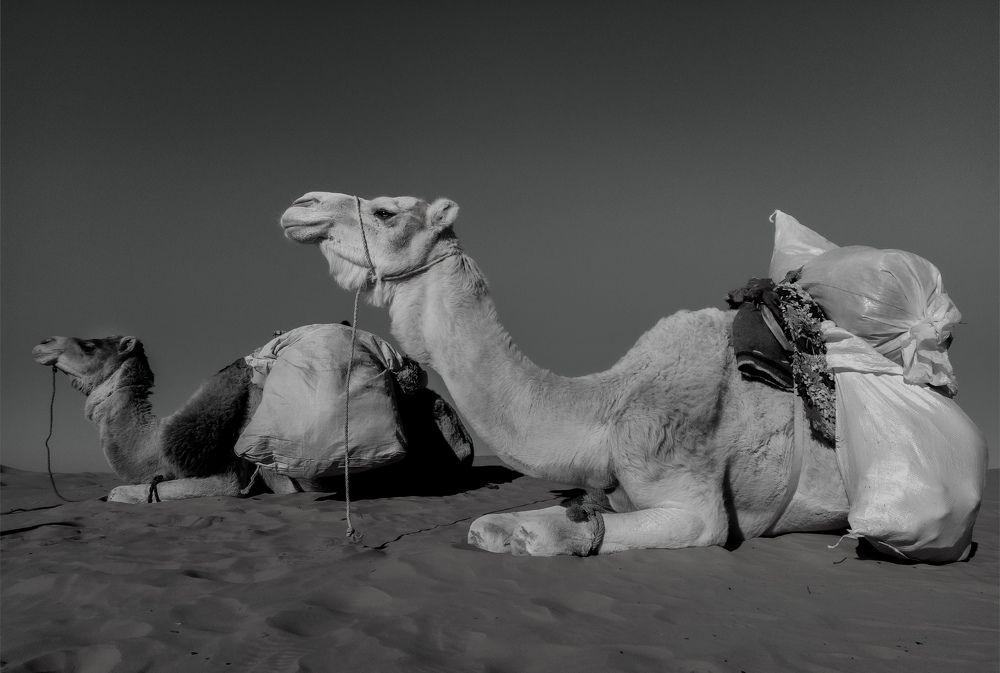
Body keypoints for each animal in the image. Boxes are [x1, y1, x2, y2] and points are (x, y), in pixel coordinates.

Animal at [281, 191, 850, 556]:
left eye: (384, 211)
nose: (302, 204)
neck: (609, 408)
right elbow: (509, 523)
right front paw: (503, 527)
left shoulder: (692, 498)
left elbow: (553, 534)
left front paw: (524, 534)